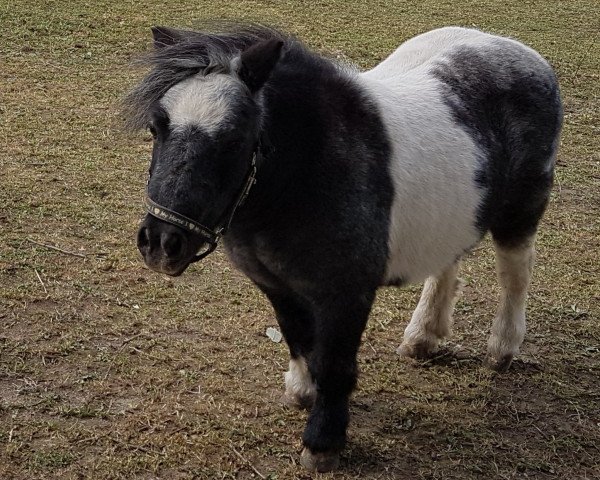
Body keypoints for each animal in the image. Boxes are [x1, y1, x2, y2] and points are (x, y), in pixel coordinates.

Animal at [126, 24, 564, 470]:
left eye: (234, 139)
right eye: (156, 128)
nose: (161, 243)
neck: (306, 172)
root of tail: (521, 53)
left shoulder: (346, 294)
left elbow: (334, 363)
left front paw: (323, 442)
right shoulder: (277, 285)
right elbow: (297, 337)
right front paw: (302, 391)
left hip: (520, 213)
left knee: (515, 275)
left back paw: (502, 347)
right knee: (447, 264)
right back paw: (423, 336)